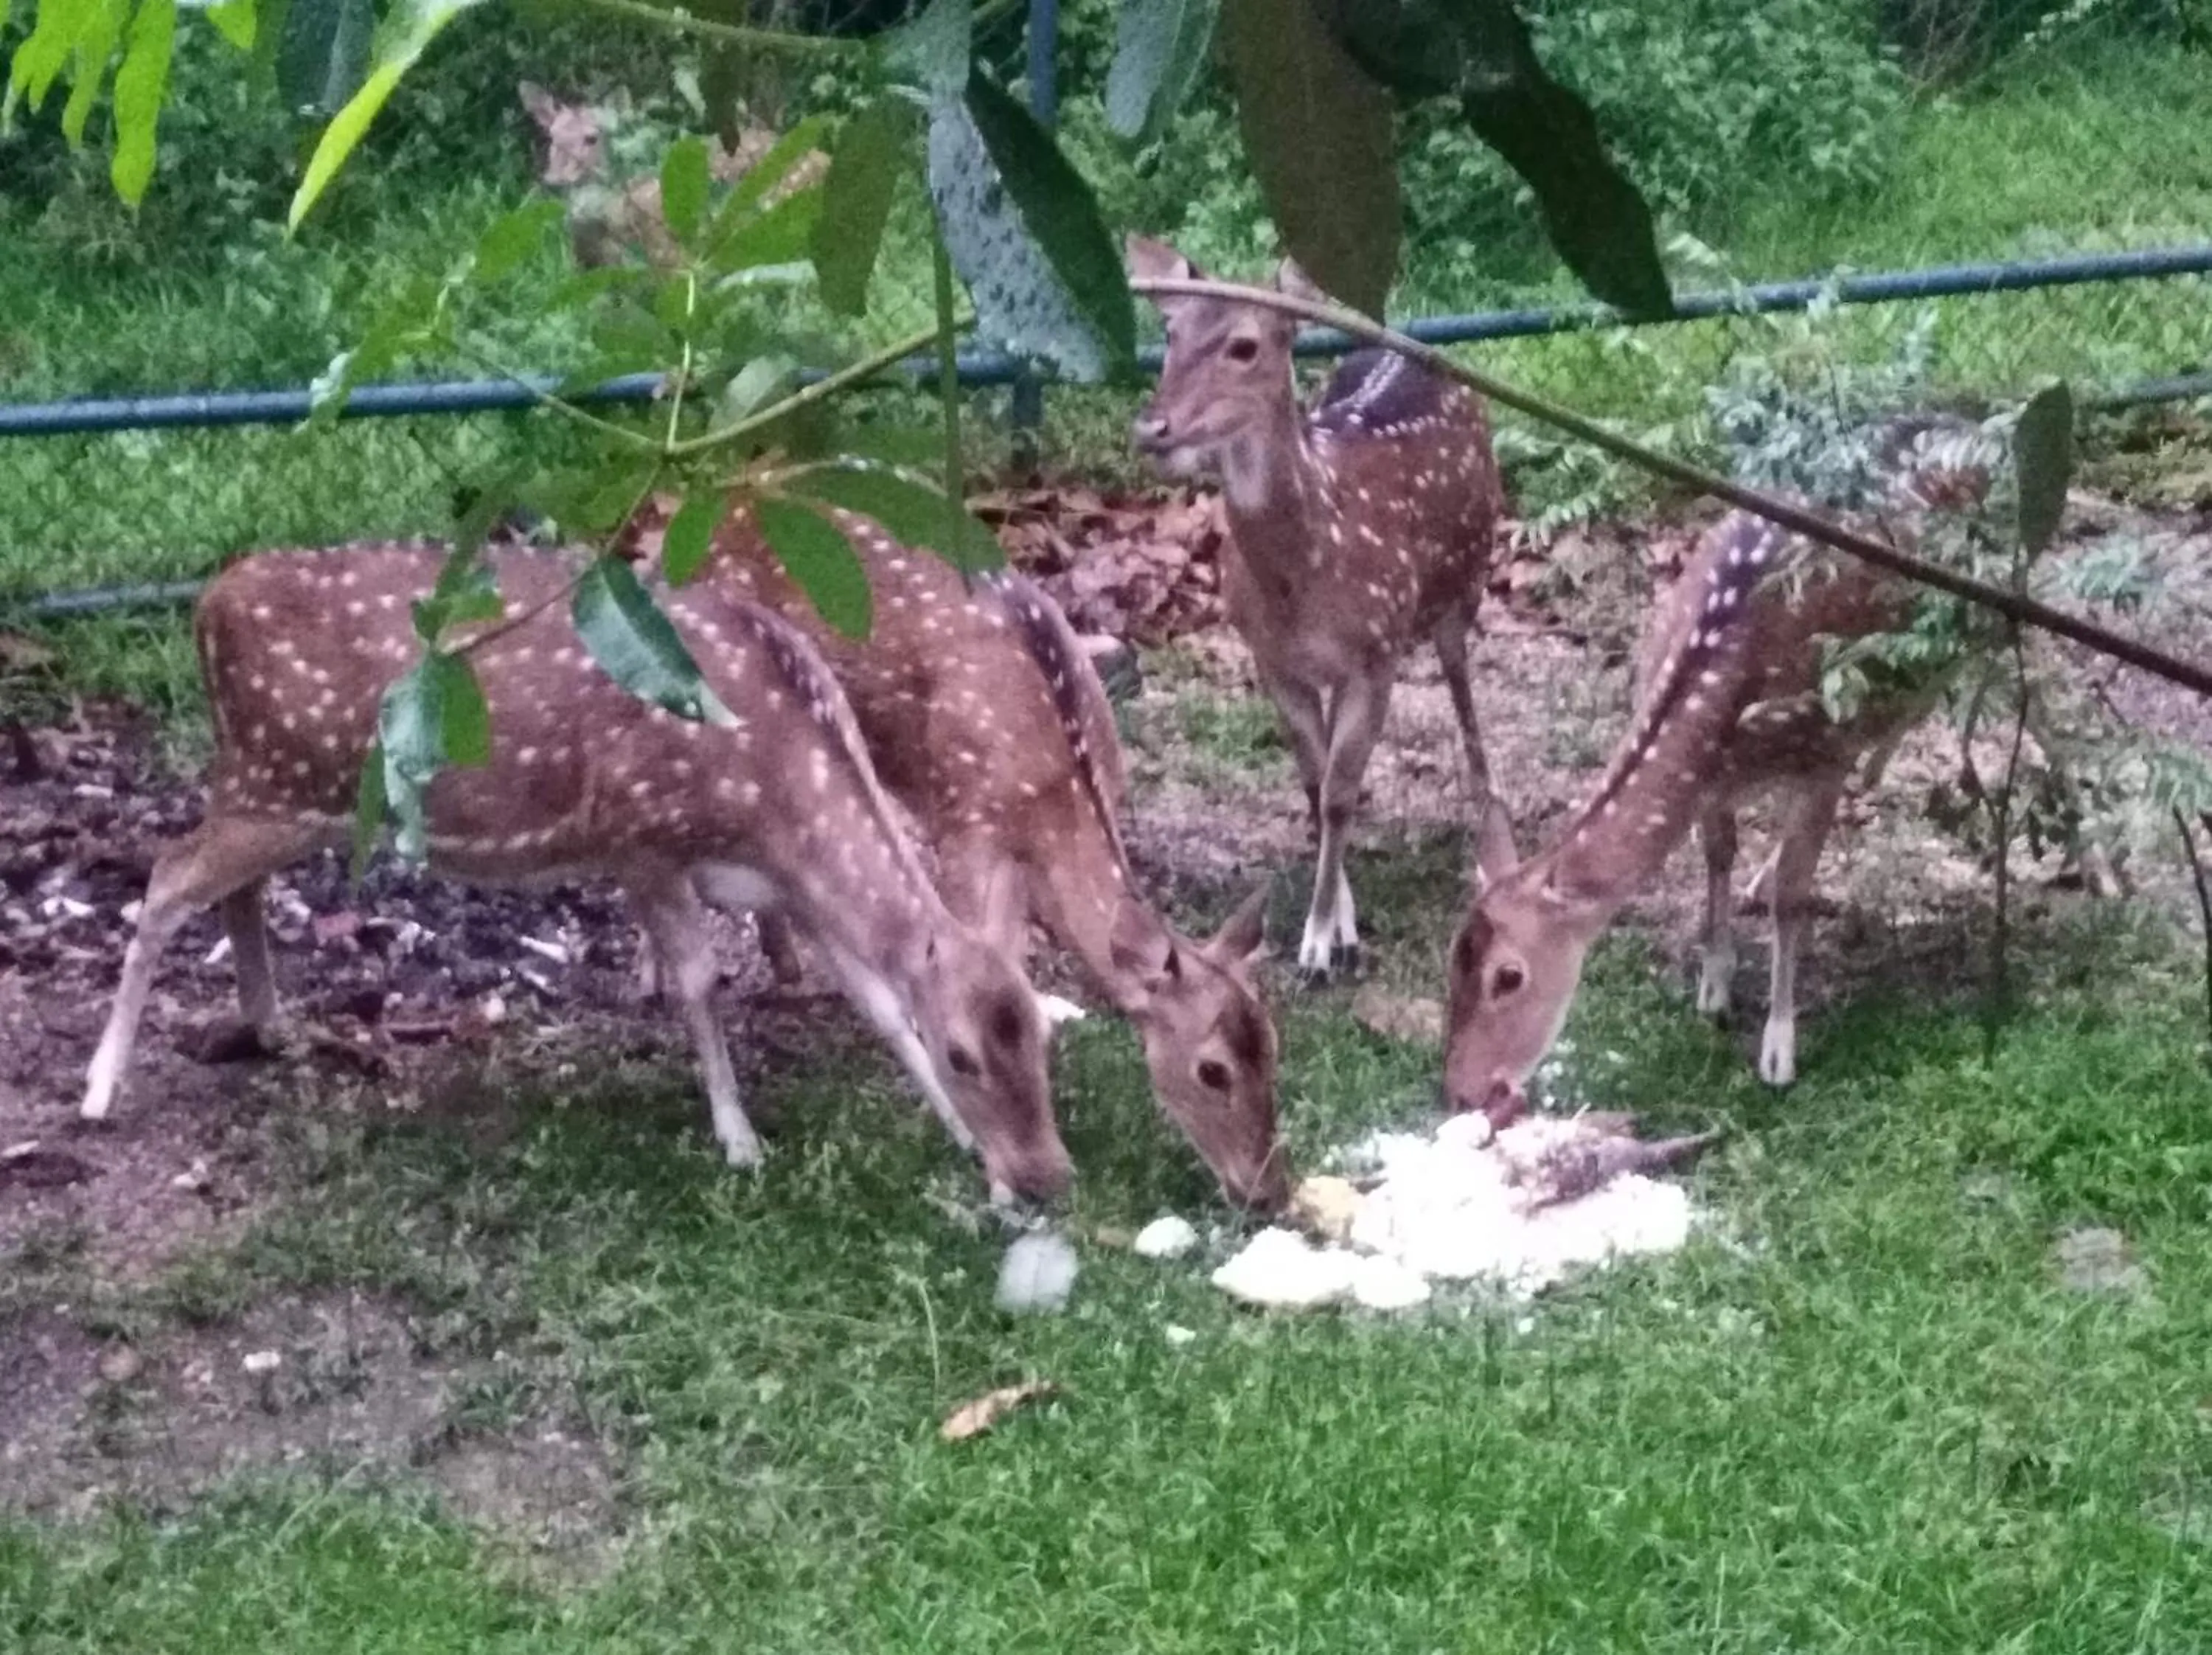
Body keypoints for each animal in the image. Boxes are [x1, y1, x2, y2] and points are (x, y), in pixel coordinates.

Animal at [78, 543, 1075, 1205]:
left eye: (1039, 1031)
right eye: (966, 1053)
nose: (1048, 1179)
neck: (771, 791)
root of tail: (207, 606)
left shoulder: (787, 889)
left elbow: (877, 1005)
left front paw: (953, 1135)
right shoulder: (640, 838)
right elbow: (700, 982)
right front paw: (740, 1140)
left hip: (274, 791)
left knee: (223, 887)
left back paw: (270, 1025)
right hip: (270, 780)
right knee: (164, 877)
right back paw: (99, 1090)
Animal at [624, 502, 1291, 1212]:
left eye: (1274, 1045)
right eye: (1212, 1070)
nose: (1268, 1191)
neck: (1054, 784)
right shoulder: (966, 826)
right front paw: (1001, 1172)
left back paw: (783, 961)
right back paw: (656, 972)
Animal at [1126, 237, 1506, 983]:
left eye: (1244, 345)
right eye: (1170, 333)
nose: (1153, 427)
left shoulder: (1377, 653)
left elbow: (1335, 792)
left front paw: (1320, 946)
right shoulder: (1274, 662)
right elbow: (1315, 780)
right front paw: (1342, 926)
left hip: (1466, 579)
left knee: (1462, 683)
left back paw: (1486, 819)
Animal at [1442, 416, 2043, 1122]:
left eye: (1509, 976)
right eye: (1450, 956)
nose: (1461, 1089)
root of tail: (1978, 428)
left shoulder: (1820, 757)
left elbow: (1793, 897)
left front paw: (1779, 1050)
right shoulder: (1715, 786)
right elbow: (1719, 855)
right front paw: (1715, 986)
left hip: (1992, 601)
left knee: (1999, 676)